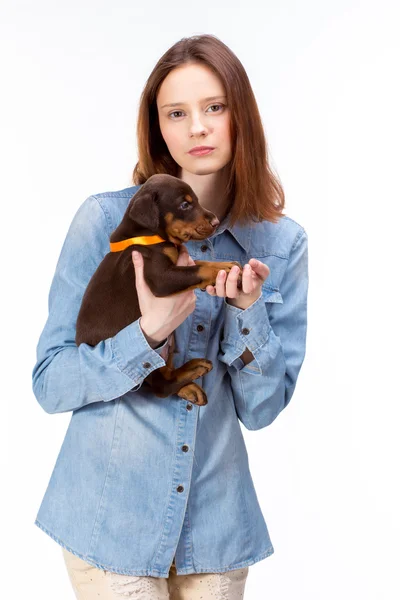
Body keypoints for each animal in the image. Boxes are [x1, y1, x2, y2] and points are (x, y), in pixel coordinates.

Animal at [76, 175, 244, 408]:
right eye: (185, 205)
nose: (216, 222)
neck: (147, 234)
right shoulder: (161, 278)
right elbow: (197, 269)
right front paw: (224, 269)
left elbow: (196, 263)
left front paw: (223, 265)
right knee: (160, 387)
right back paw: (193, 371)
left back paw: (190, 384)